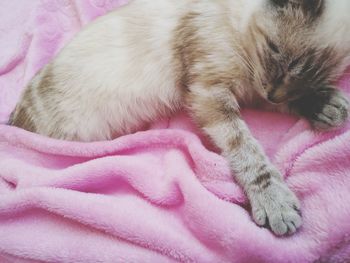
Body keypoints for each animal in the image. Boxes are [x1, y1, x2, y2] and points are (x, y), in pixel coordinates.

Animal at [7, 0, 350, 236]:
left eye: (308, 76)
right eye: (276, 54)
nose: (274, 95)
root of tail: (14, 117)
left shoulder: (248, 85)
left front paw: (325, 105)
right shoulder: (210, 91)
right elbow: (248, 150)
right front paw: (274, 202)